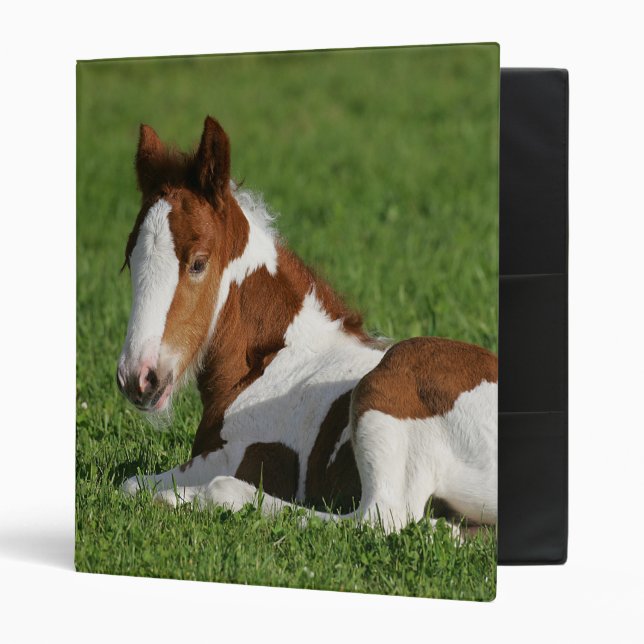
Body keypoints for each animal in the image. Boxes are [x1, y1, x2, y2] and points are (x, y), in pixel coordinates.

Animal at [118, 116, 498, 534]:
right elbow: (131, 483)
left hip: (387, 386)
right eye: (129, 259)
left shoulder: (235, 455)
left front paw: (182, 495)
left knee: (379, 518)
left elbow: (133, 483)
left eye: (199, 262)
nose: (139, 378)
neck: (273, 361)